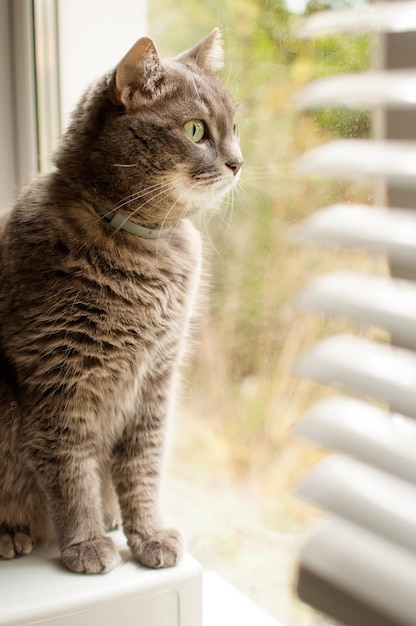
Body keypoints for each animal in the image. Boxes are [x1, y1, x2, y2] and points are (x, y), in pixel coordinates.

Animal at [0, 31, 244, 572]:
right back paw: (11, 533)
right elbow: (71, 473)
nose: (238, 162)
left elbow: (141, 469)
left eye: (235, 127)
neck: (145, 251)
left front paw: (146, 534)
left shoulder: (155, 382)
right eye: (196, 130)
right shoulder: (58, 380)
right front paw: (85, 543)